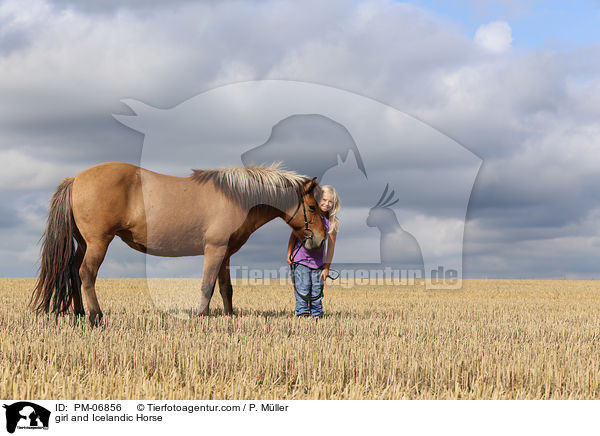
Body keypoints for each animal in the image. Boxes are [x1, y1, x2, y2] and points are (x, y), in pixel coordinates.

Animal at [30, 163, 326, 324]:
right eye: (312, 207)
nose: (321, 238)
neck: (236, 196)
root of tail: (75, 179)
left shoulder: (226, 253)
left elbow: (226, 288)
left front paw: (230, 316)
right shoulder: (214, 249)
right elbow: (207, 285)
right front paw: (202, 316)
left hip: (83, 243)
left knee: (72, 271)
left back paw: (80, 313)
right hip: (98, 242)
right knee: (86, 274)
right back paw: (95, 316)